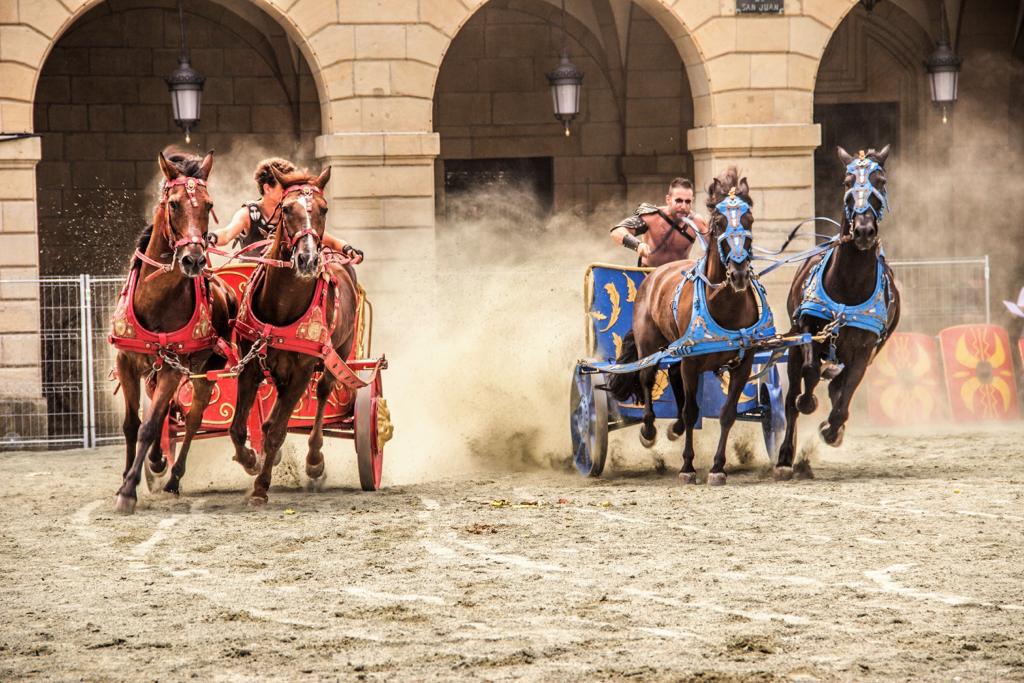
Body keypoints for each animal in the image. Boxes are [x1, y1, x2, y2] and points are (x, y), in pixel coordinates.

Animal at [112, 150, 235, 511]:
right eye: (175, 204)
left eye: (208, 205)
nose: (193, 260)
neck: (157, 299)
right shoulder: (127, 362)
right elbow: (133, 424)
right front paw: (127, 478)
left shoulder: (173, 366)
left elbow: (151, 425)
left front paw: (129, 489)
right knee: (167, 411)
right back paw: (155, 462)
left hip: (203, 370)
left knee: (192, 418)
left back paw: (174, 475)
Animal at [230, 166, 362, 507]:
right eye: (288, 209)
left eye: (324, 209)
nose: (307, 259)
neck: (282, 304)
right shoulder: (250, 365)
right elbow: (238, 428)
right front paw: (251, 460)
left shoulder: (302, 372)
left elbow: (278, 431)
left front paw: (260, 488)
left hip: (339, 352)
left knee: (324, 391)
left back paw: (314, 461)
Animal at [606, 167, 761, 483]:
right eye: (719, 222)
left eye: (749, 219)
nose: (738, 272)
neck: (723, 302)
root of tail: (655, 274)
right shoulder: (692, 361)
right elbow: (691, 411)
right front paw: (688, 467)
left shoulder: (744, 363)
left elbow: (727, 413)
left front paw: (717, 467)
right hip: (650, 345)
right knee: (647, 378)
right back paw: (649, 430)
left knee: (674, 378)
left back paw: (674, 428)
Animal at [774, 144, 905, 479]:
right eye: (847, 182)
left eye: (881, 181)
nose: (863, 231)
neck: (848, 285)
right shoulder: (806, 331)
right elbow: (807, 378)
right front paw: (808, 403)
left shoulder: (864, 351)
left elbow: (845, 398)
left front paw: (831, 430)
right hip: (794, 348)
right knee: (792, 399)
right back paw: (785, 456)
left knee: (838, 389)